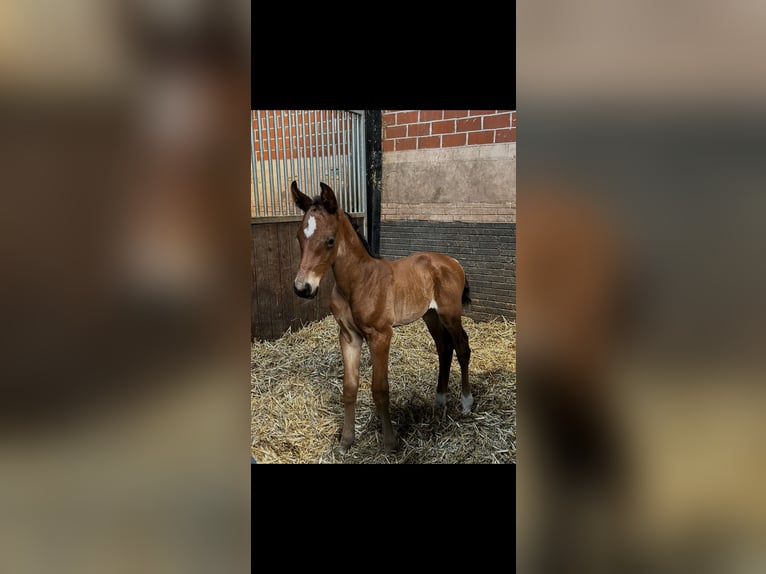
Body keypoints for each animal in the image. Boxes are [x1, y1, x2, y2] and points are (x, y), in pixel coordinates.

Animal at [289, 181, 472, 454]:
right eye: (299, 237)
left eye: (330, 240)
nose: (303, 288)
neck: (357, 282)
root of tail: (452, 261)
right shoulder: (349, 336)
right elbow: (349, 388)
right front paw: (345, 442)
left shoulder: (380, 335)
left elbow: (380, 389)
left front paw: (389, 443)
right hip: (430, 316)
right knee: (444, 348)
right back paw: (439, 400)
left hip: (450, 313)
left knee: (462, 347)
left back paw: (466, 402)